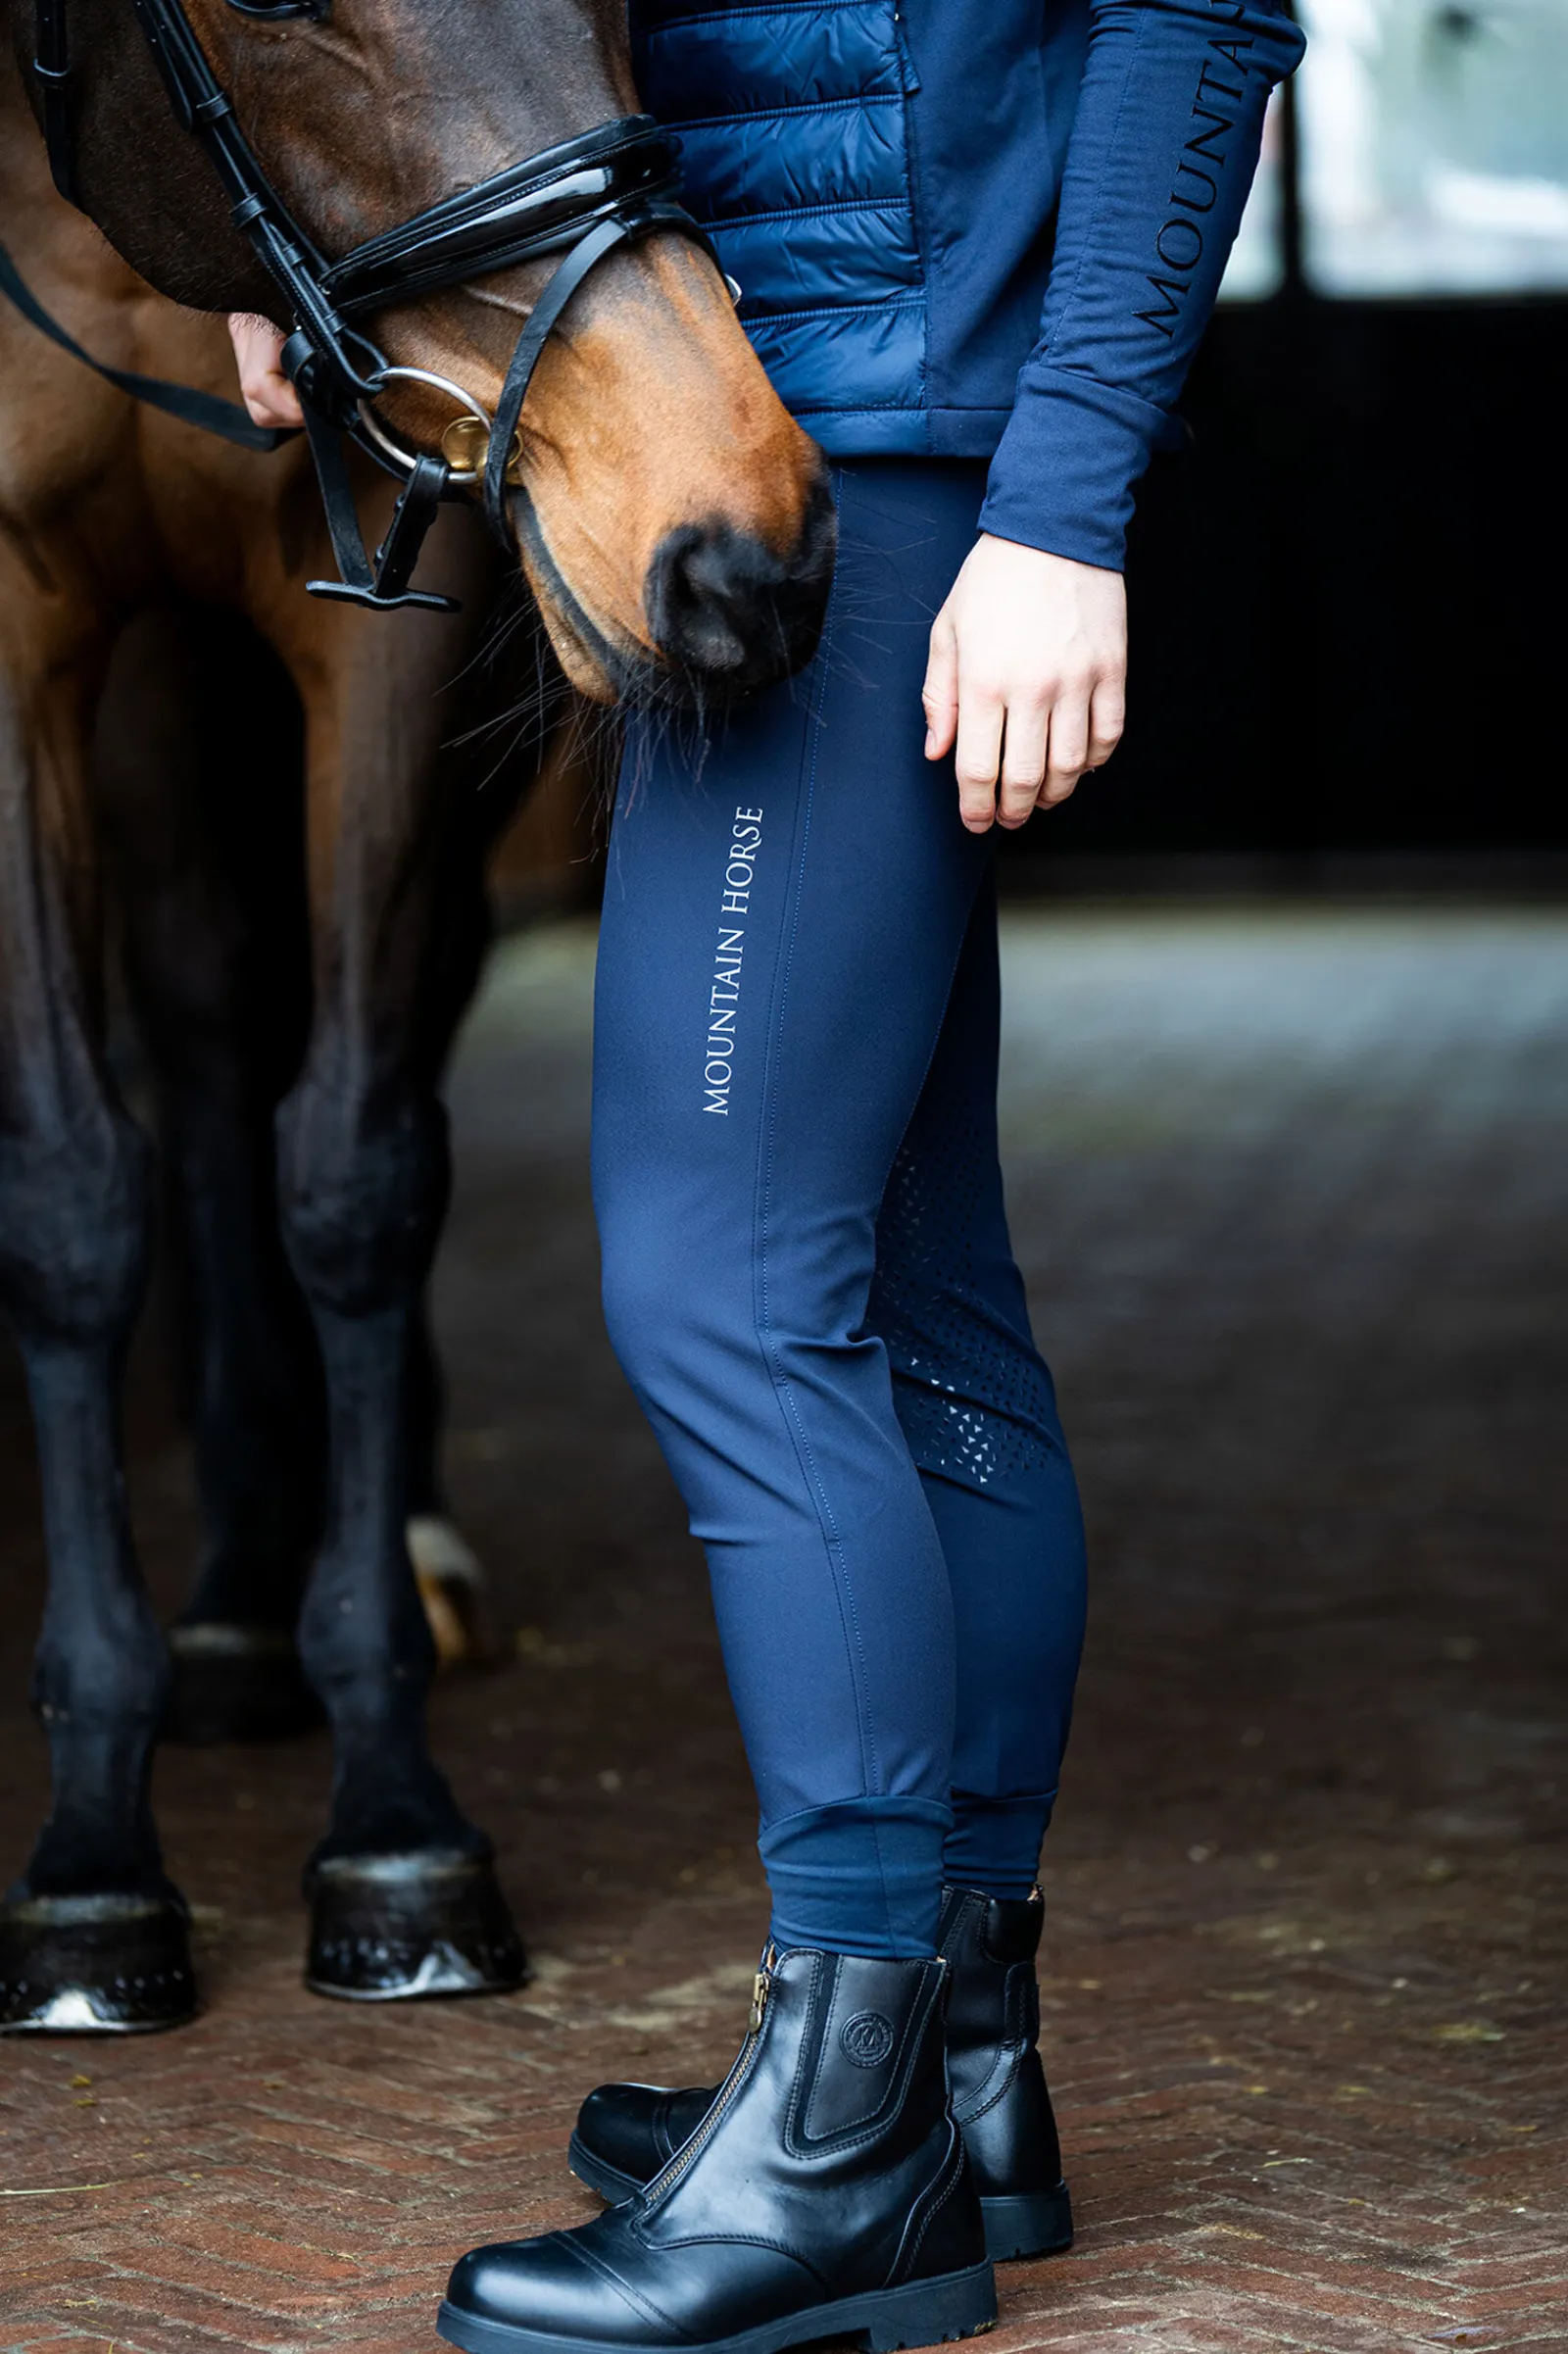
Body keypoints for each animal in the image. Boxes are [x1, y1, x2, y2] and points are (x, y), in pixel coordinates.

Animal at [0, 0, 833, 2032]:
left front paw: (395, 1826)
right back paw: (229, 1599)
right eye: (276, 7)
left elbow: (360, 1173)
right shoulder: (16, 619)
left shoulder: (396, 610)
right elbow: (69, 1198)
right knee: (208, 1030)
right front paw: (88, 1862)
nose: (744, 538)